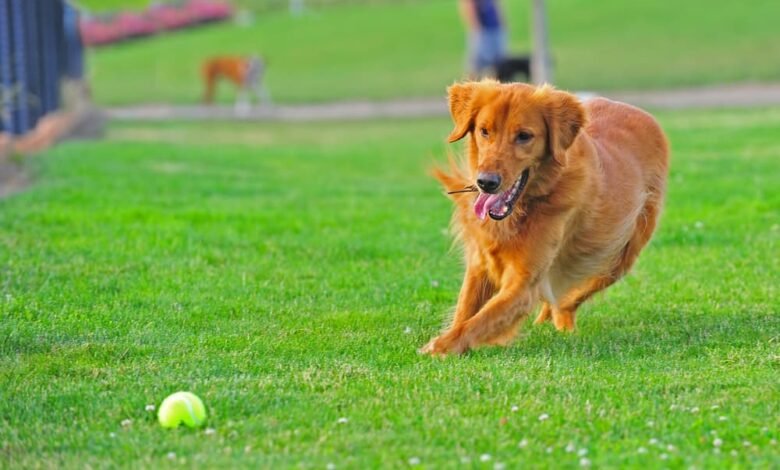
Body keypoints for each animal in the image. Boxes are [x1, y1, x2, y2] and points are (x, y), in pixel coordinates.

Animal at [420, 81, 672, 354]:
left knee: (569, 298)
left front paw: (439, 347)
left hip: (620, 256)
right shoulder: (480, 264)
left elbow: (479, 321)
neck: (524, 208)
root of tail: (636, 110)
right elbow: (465, 312)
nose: (486, 182)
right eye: (484, 131)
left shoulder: (523, 284)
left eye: (524, 136)